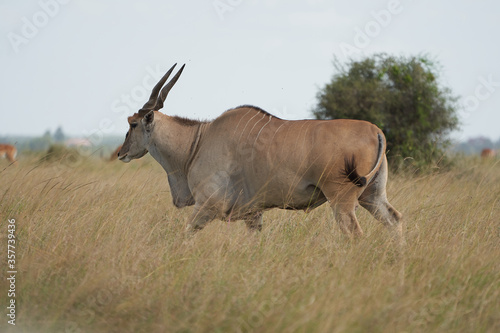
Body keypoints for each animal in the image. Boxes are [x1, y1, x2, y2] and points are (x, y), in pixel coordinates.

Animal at [117, 64, 402, 236]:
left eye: (132, 124)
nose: (121, 153)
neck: (198, 141)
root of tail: (375, 130)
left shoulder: (207, 206)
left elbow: (185, 234)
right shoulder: (253, 215)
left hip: (342, 201)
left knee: (355, 233)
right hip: (372, 197)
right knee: (394, 220)